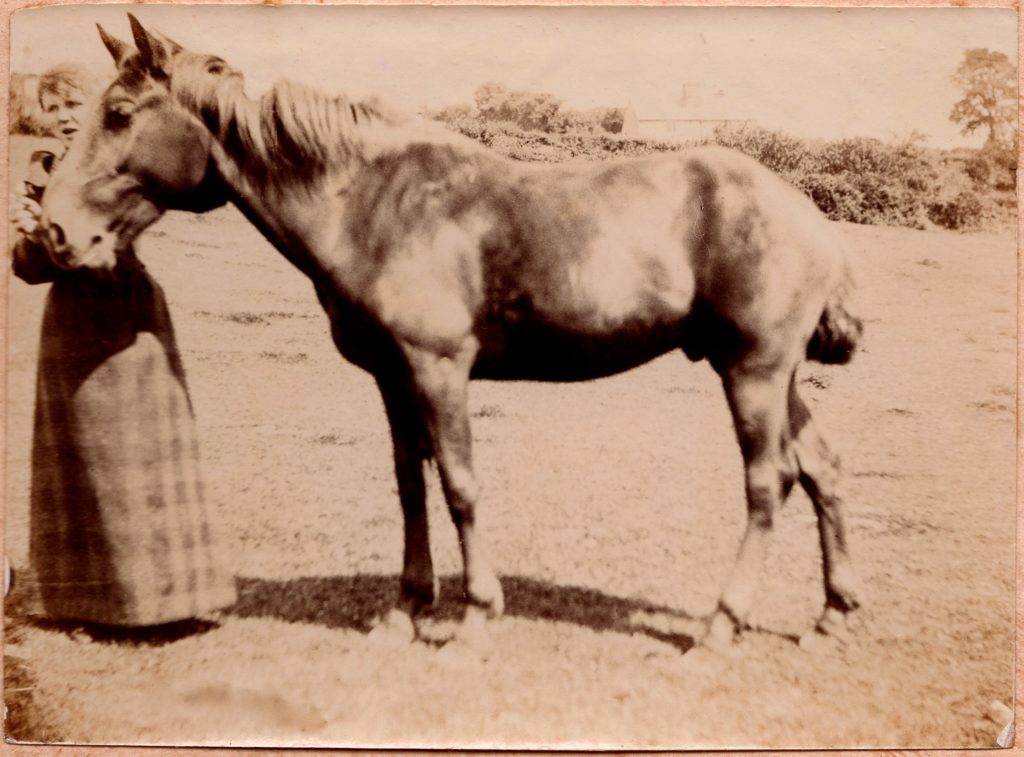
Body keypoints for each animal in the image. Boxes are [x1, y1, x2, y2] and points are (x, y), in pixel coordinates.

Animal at [37, 16, 864, 655]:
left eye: (119, 111)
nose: (55, 232)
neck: (370, 201)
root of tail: (807, 212)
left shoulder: (439, 368)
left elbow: (460, 485)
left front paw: (476, 613)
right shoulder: (393, 375)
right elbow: (411, 484)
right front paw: (407, 607)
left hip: (752, 372)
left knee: (769, 483)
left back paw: (722, 623)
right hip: (775, 375)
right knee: (821, 468)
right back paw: (833, 614)